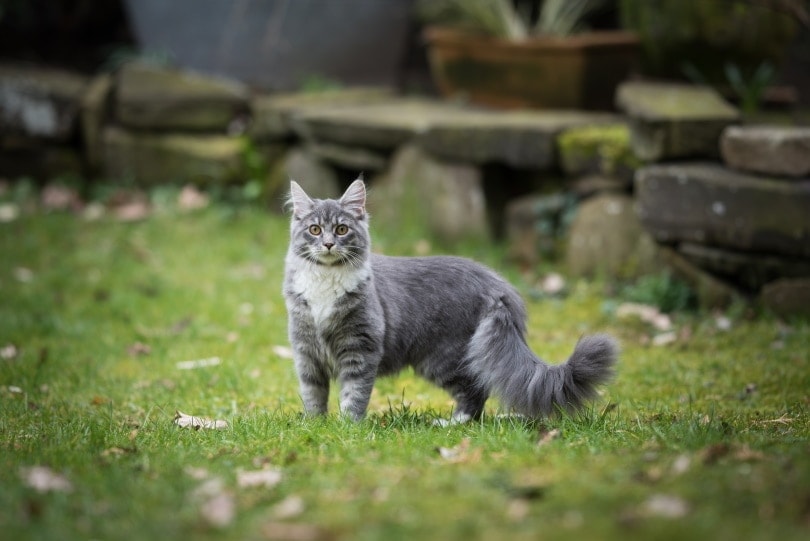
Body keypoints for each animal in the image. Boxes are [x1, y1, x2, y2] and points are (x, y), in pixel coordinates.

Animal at [280, 179, 616, 424]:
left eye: (341, 229)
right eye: (314, 229)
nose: (327, 244)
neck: (325, 280)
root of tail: (495, 283)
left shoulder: (360, 346)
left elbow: (354, 392)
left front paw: (348, 427)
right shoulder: (306, 348)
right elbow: (313, 392)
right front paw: (315, 425)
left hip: (443, 356)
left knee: (476, 392)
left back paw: (452, 423)